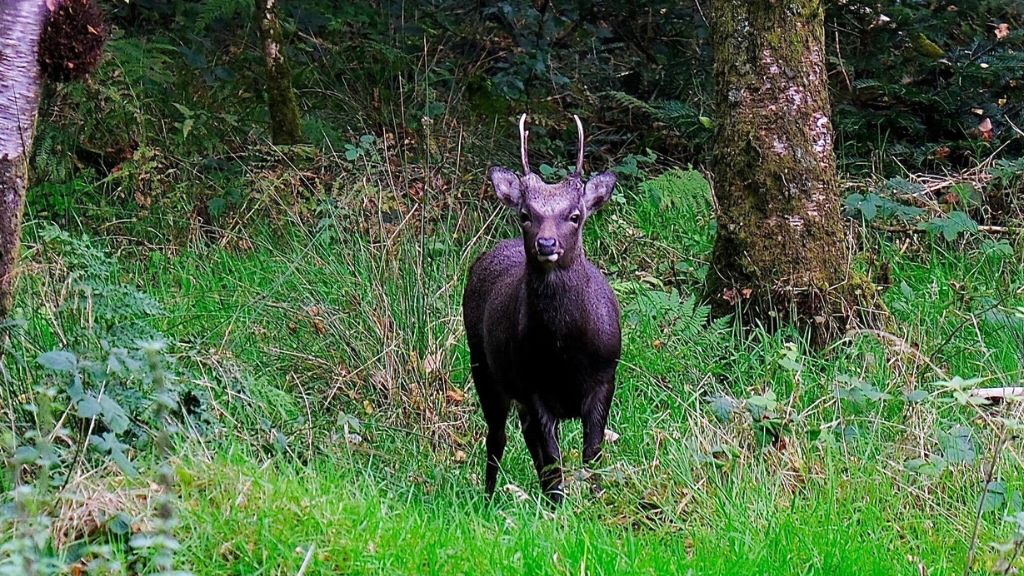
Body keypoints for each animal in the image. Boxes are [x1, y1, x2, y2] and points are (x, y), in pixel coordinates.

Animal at [462, 113, 618, 502]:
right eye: (525, 214)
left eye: (575, 215)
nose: (546, 244)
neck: (564, 353)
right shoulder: (533, 388)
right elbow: (552, 460)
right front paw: (558, 506)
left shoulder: (605, 379)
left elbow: (592, 453)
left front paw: (595, 500)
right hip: (482, 365)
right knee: (497, 437)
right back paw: (488, 497)